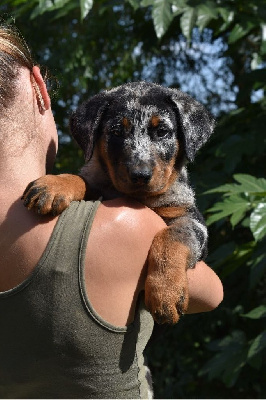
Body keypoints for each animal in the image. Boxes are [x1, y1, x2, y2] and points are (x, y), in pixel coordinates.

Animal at [22, 81, 214, 324]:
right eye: (116, 132)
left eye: (162, 131)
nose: (140, 175)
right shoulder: (99, 185)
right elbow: (83, 179)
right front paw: (55, 184)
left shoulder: (190, 217)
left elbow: (173, 236)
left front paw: (166, 292)